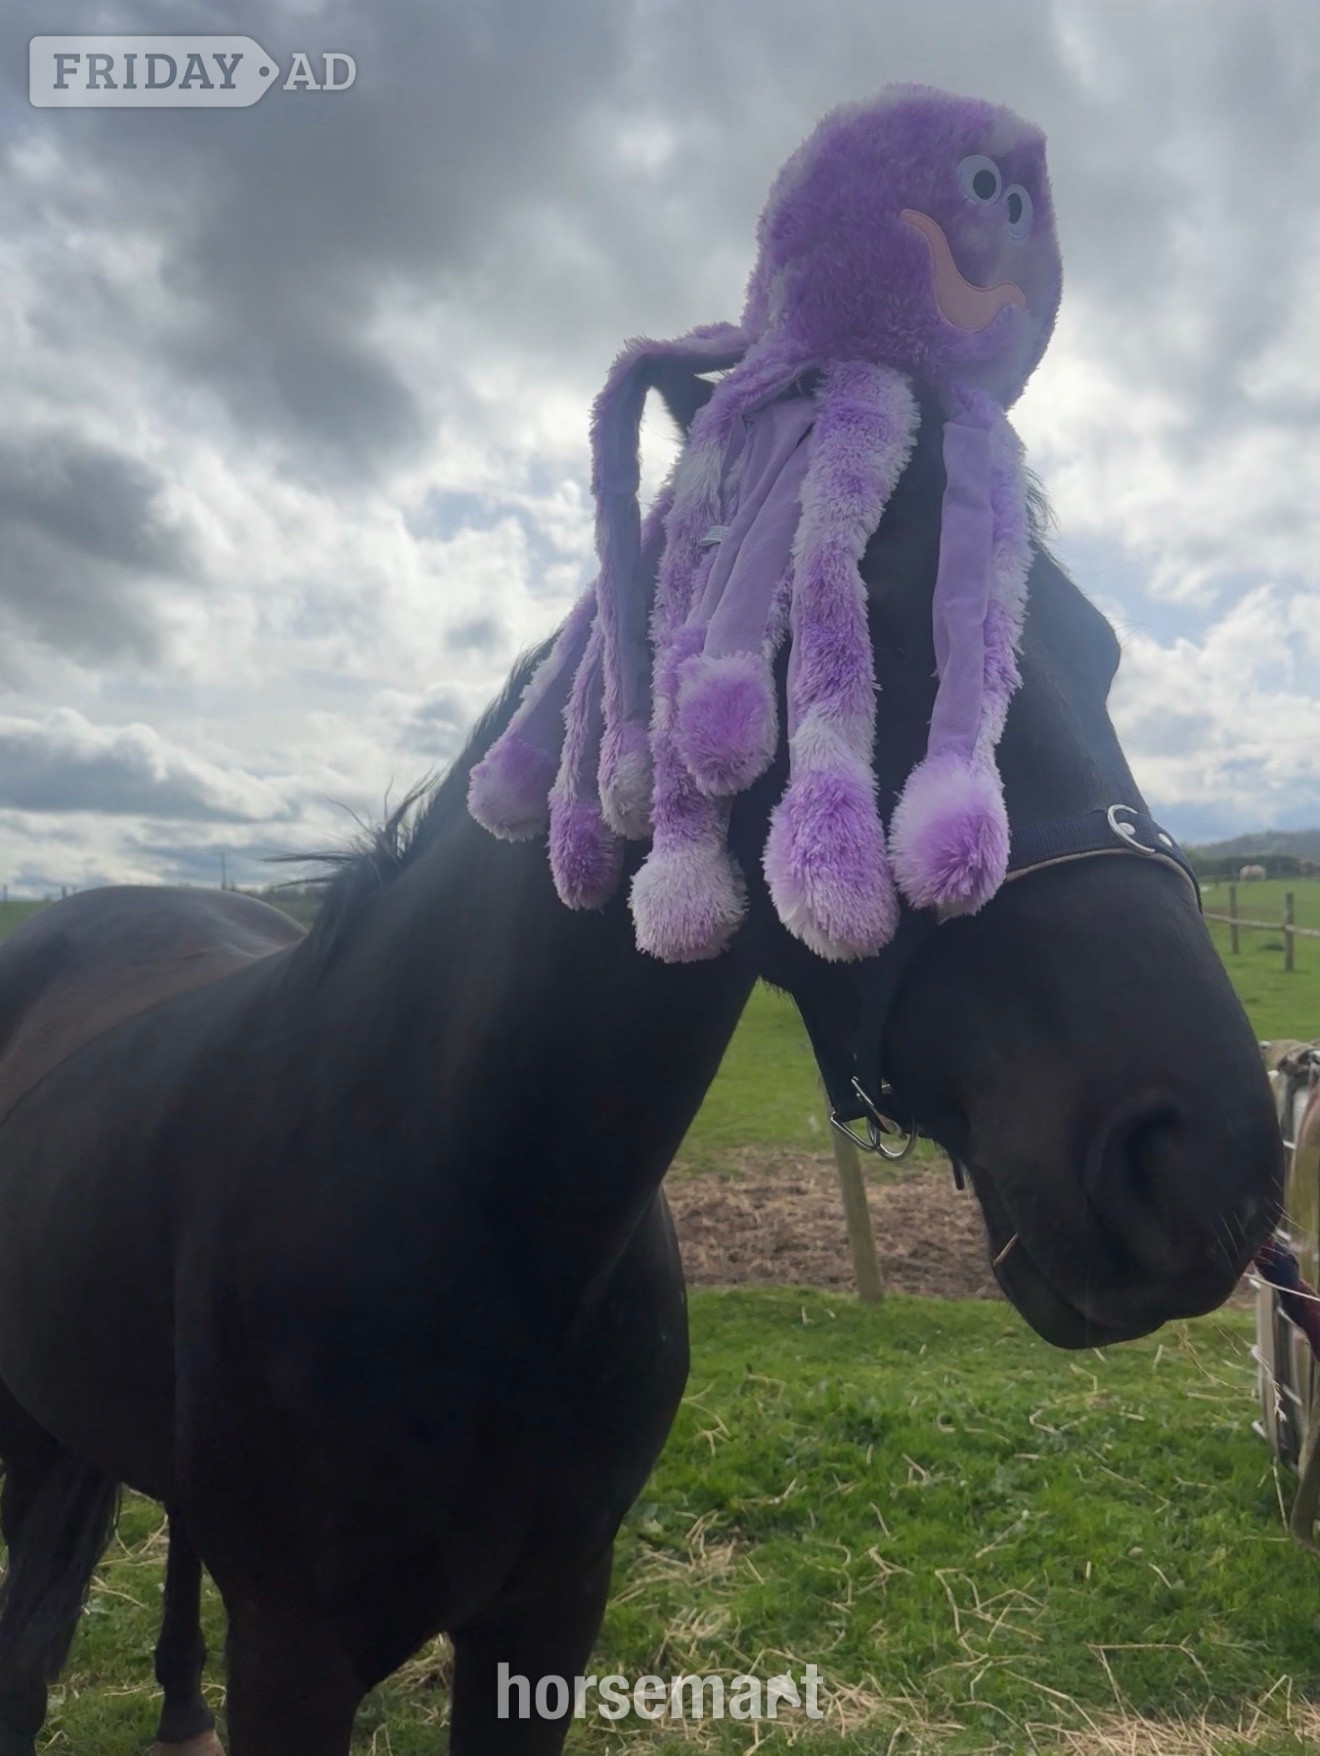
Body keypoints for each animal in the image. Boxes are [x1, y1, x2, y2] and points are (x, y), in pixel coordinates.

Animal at [0, 384, 1283, 1756]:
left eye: (1105, 654)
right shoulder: (296, 1649)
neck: (473, 1200)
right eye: (860, 621)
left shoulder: (550, 1611)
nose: (1205, 1163)